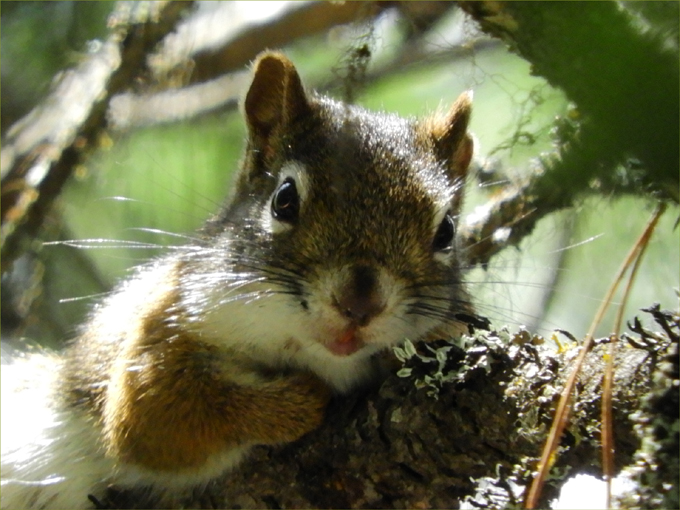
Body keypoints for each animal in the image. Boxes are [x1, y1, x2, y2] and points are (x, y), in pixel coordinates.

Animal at [1, 49, 472, 508]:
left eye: (446, 230)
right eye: (284, 199)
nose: (359, 305)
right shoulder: (160, 330)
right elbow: (153, 416)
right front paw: (297, 401)